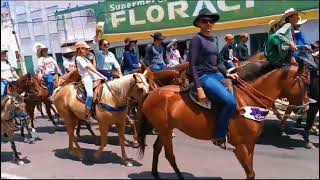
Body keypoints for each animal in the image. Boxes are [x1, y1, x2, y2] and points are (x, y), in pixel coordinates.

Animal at [136, 63, 308, 179]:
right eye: (305, 83)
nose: (305, 108)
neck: (247, 101)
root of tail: (152, 93)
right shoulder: (240, 146)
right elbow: (250, 173)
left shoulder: (250, 145)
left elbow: (251, 172)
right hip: (165, 129)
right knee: (169, 154)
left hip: (165, 129)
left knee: (157, 148)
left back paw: (156, 174)